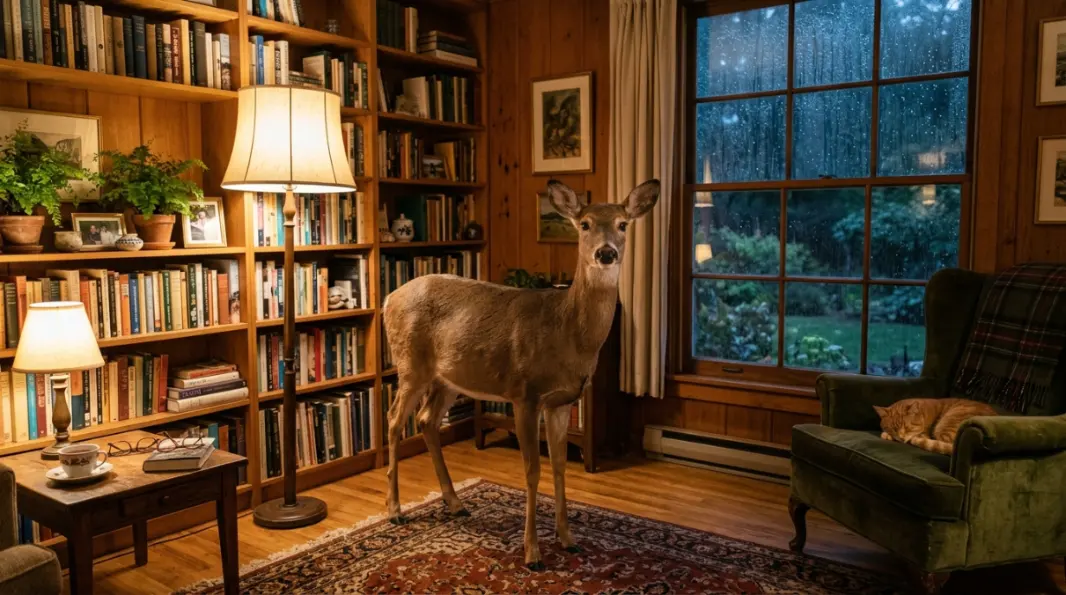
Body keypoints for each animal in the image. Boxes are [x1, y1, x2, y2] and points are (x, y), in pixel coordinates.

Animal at [381, 178, 659, 570]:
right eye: (584, 223)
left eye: (623, 224)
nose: (606, 253)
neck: (567, 331)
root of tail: (387, 300)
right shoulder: (524, 394)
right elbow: (532, 471)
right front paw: (533, 553)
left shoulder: (562, 401)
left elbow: (559, 465)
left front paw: (568, 539)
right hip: (410, 364)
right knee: (393, 420)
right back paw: (395, 510)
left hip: (448, 377)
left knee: (426, 420)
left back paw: (455, 503)